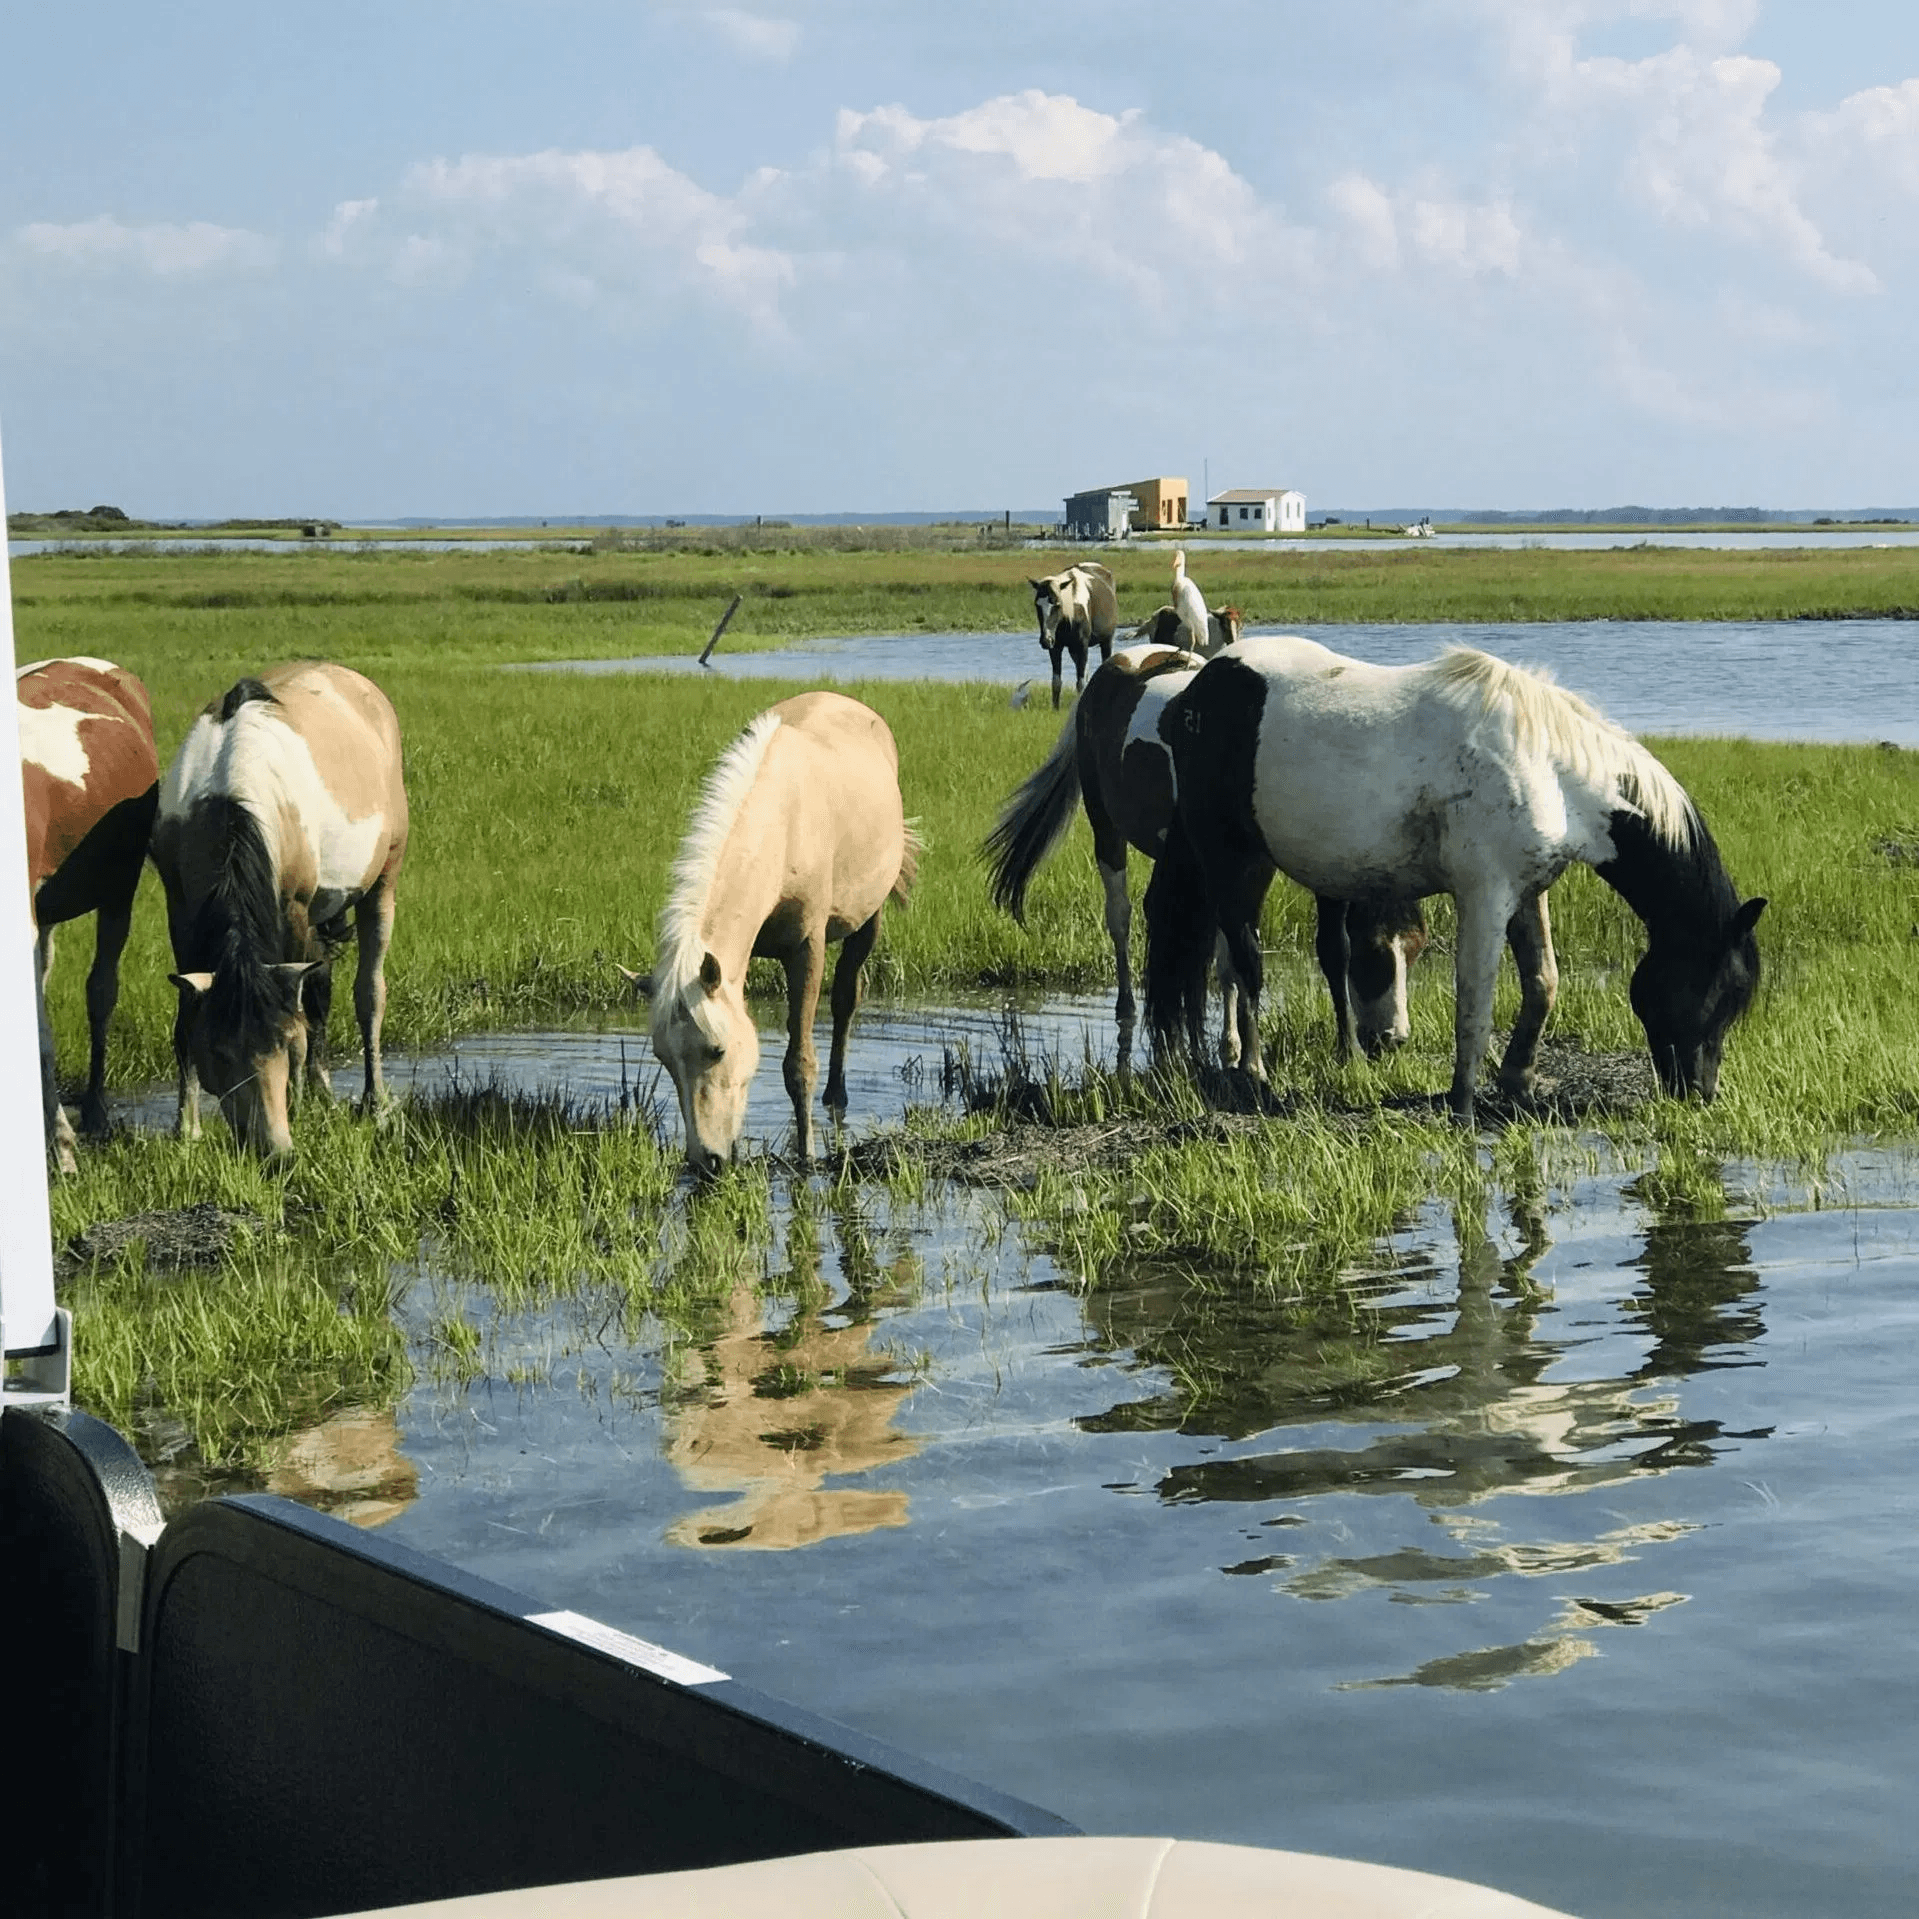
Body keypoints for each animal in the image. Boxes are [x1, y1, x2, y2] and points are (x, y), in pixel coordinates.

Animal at [150, 663, 408, 1157]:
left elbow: (303, 1013)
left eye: (283, 1045)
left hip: (383, 877)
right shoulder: (181, 907)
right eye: (218, 1052)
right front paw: (186, 1129)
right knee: (322, 987)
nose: (271, 1148)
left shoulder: (293, 908)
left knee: (369, 994)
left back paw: (372, 1100)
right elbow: (185, 1018)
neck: (229, 793)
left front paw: (299, 1103)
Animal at [649, 691, 917, 1176]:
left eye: (716, 1050)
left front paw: (806, 1155)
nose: (705, 1161)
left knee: (846, 998)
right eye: (664, 1058)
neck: (780, 825)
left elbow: (798, 1064)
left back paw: (836, 1096)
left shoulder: (806, 948)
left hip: (868, 920)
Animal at [985, 641, 1428, 1070]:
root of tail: (1112, 669)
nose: (1394, 1038)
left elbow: (1250, 954)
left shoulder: (1264, 868)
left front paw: (1234, 1043)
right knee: (1120, 917)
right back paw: (1127, 1007)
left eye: (1415, 950)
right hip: (1106, 828)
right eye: (1374, 954)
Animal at [1028, 562, 1118, 708]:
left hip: (1106, 640)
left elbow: (1080, 683)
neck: (1071, 613)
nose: (1045, 640)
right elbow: (1056, 682)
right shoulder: (1056, 647)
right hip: (1073, 650)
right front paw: (1055, 708)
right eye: (1037, 605)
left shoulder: (1082, 646)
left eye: (1057, 604)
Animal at [1143, 637, 1765, 1126]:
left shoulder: (1527, 892)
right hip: (1231, 859)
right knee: (1245, 963)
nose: (1701, 1092)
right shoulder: (1484, 895)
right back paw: (1254, 1073)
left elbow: (1543, 982)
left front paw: (1518, 1080)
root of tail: (1194, 695)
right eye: (1720, 992)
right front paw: (1463, 1103)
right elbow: (1476, 999)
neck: (1552, 767)